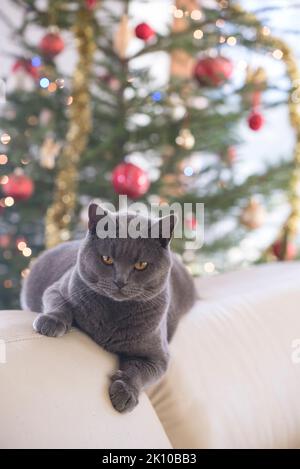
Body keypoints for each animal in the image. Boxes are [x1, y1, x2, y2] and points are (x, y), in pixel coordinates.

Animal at [19, 203, 196, 412]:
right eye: (107, 259)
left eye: (141, 264)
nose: (120, 281)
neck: (113, 312)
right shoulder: (58, 287)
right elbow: (59, 304)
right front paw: (51, 322)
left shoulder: (158, 357)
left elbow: (141, 371)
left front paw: (126, 392)